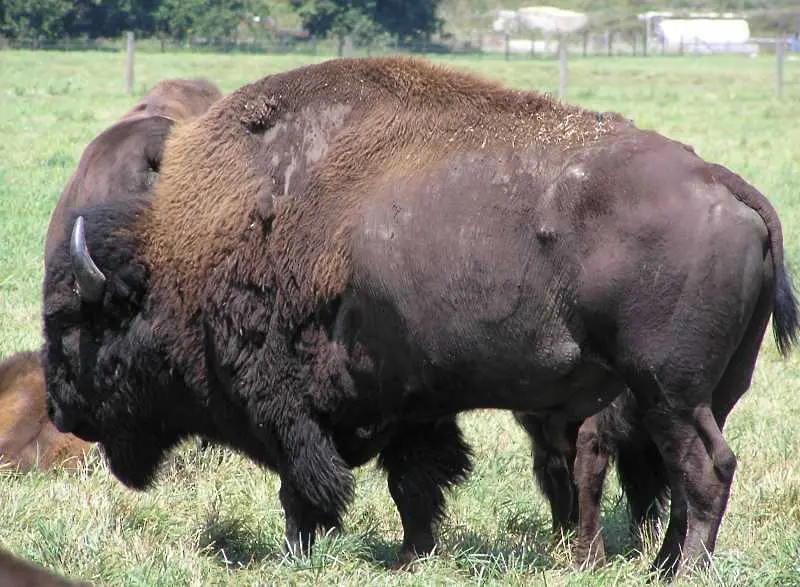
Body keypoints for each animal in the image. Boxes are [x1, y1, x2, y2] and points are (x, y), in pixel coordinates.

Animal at [42, 56, 792, 580]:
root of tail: (723, 184)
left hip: (669, 390)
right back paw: (662, 565)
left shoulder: (293, 407)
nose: (59, 407)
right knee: (686, 472)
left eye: (74, 324)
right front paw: (412, 554)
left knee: (705, 469)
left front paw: (302, 551)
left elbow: (307, 485)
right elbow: (415, 483)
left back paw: (683, 570)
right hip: (709, 391)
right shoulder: (413, 404)